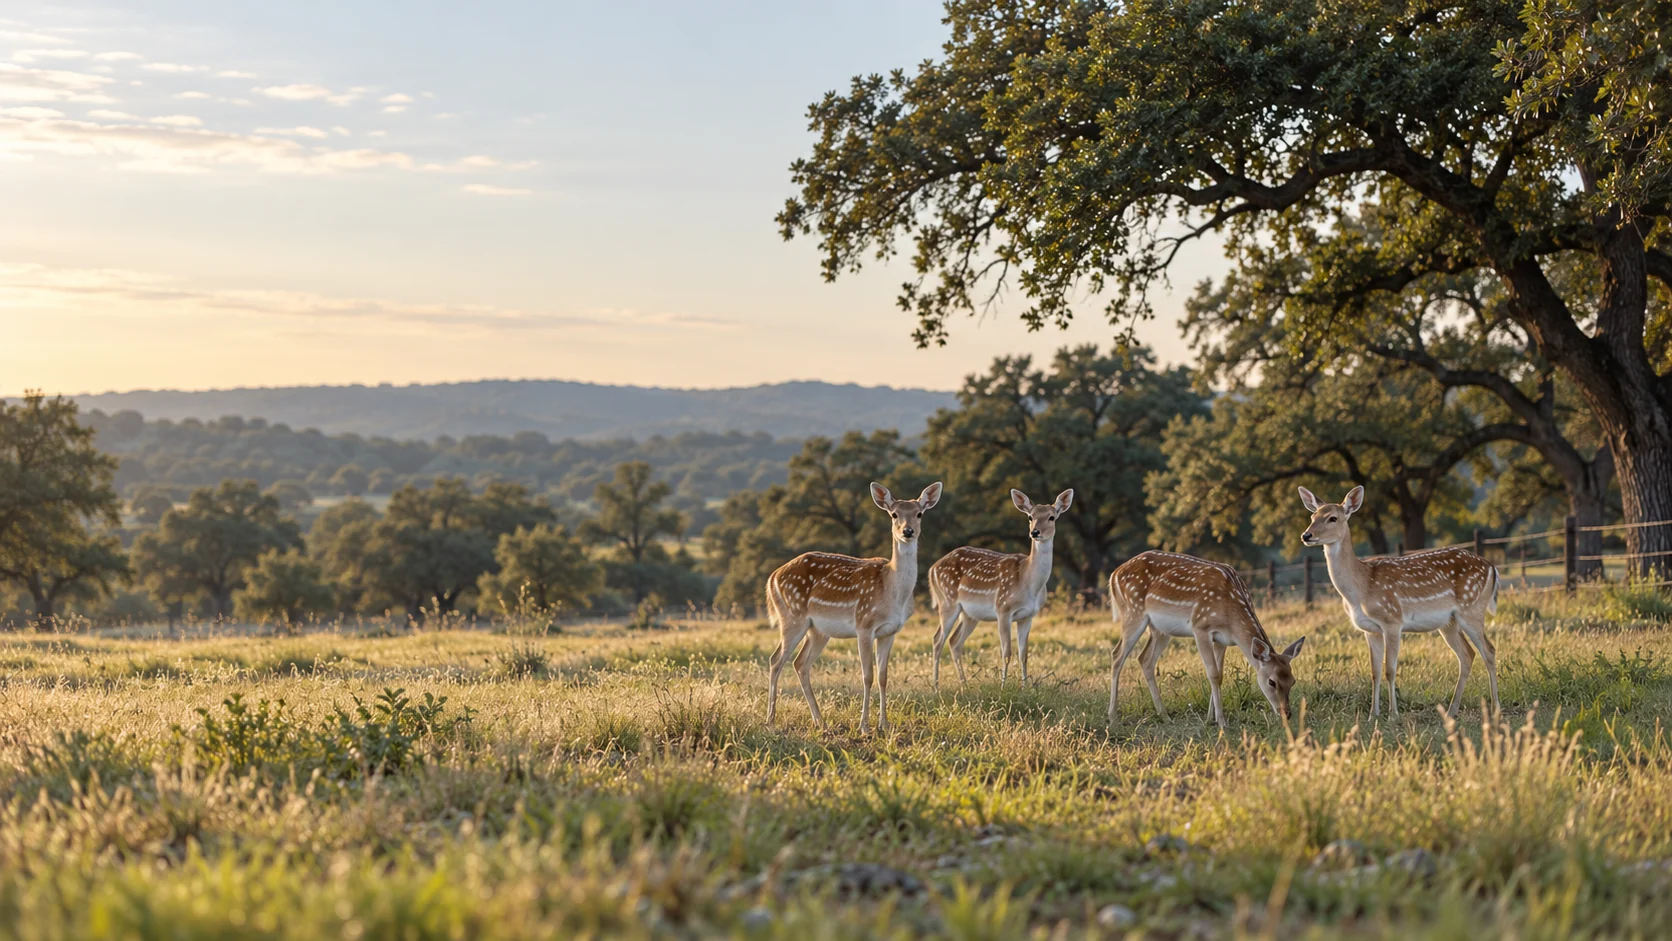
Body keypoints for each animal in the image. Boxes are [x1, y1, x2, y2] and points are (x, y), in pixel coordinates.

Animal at [764, 481, 942, 732]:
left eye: (919, 513)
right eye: (894, 514)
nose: (907, 531)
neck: (892, 592)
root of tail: (772, 577)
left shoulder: (890, 631)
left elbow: (883, 676)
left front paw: (884, 724)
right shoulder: (864, 625)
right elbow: (867, 676)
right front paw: (864, 726)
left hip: (818, 630)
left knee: (800, 663)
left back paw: (821, 722)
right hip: (792, 617)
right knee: (776, 660)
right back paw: (770, 719)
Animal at [928, 488, 1073, 687]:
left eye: (1051, 517)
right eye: (1030, 516)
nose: (1035, 532)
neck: (1029, 583)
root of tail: (932, 569)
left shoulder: (1028, 616)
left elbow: (1023, 655)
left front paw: (1025, 687)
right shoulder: (1003, 609)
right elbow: (1006, 653)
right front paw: (1004, 687)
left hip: (970, 614)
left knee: (954, 641)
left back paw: (964, 686)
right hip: (947, 601)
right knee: (937, 640)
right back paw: (936, 686)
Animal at [1108, 551, 1305, 730]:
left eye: (1293, 681)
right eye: (1272, 682)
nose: (1286, 713)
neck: (1230, 615)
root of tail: (1114, 574)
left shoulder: (1222, 639)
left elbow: (1220, 675)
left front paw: (1211, 718)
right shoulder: (1200, 628)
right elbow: (1213, 674)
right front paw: (1222, 722)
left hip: (1160, 630)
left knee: (1145, 659)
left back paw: (1164, 716)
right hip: (1133, 612)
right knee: (1117, 655)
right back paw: (1113, 717)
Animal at [1299, 486, 1499, 719]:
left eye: (1332, 518)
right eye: (1312, 516)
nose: (1306, 535)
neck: (1361, 587)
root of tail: (1491, 567)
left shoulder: (1392, 620)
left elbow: (1390, 669)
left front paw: (1393, 715)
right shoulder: (1370, 629)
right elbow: (1375, 671)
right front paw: (1373, 715)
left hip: (1472, 608)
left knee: (1489, 650)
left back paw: (1495, 708)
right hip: (1449, 622)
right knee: (1467, 654)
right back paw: (1451, 710)